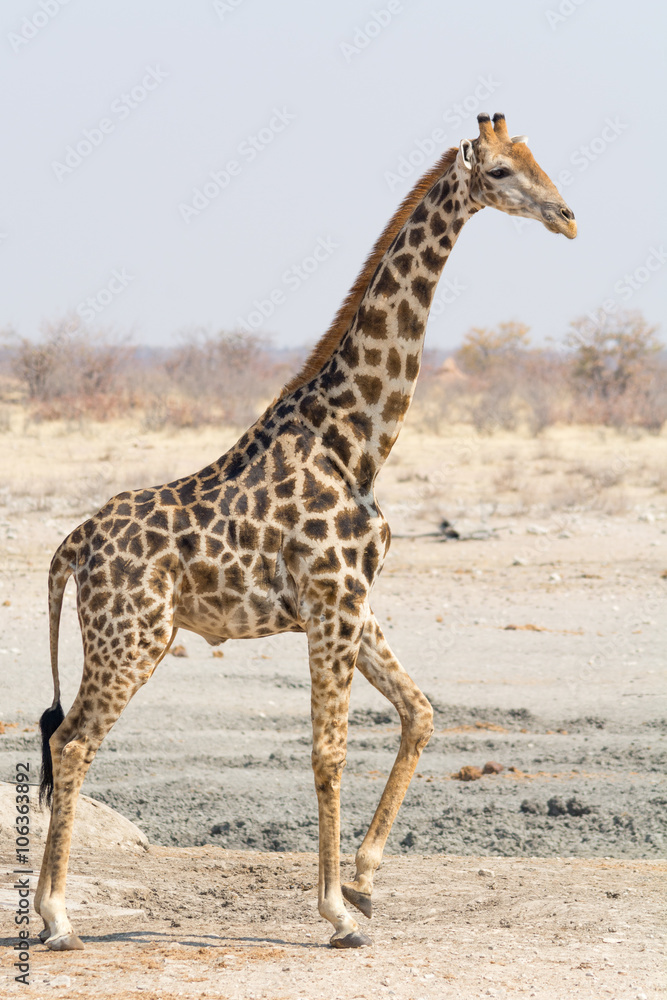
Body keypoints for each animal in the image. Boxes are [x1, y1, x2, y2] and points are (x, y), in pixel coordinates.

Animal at [35, 112, 576, 951]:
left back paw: (42, 912)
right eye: (500, 173)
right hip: (133, 637)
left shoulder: (353, 603)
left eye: (533, 159)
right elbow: (329, 752)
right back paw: (58, 918)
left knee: (63, 737)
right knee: (72, 740)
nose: (566, 216)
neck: (356, 440)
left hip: (127, 637)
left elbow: (419, 712)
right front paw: (335, 914)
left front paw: (363, 880)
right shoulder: (332, 602)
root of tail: (70, 547)